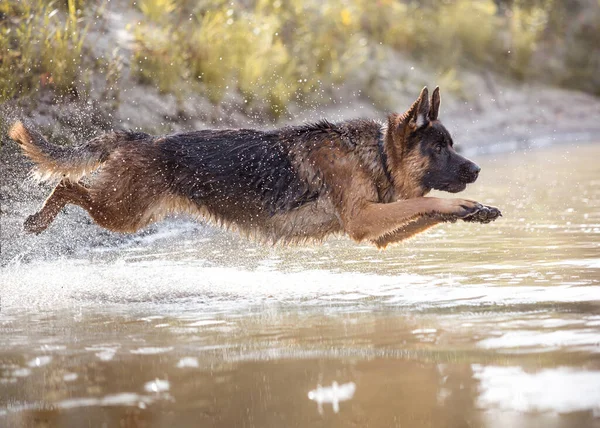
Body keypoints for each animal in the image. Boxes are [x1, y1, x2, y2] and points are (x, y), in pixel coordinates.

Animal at [9, 86, 502, 247]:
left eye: (452, 146)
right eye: (440, 149)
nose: (477, 170)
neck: (376, 153)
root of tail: (141, 138)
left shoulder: (376, 232)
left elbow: (428, 209)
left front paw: (476, 210)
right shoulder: (363, 220)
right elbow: (428, 203)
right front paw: (468, 205)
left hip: (129, 211)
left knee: (72, 185)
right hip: (123, 212)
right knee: (68, 184)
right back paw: (37, 220)